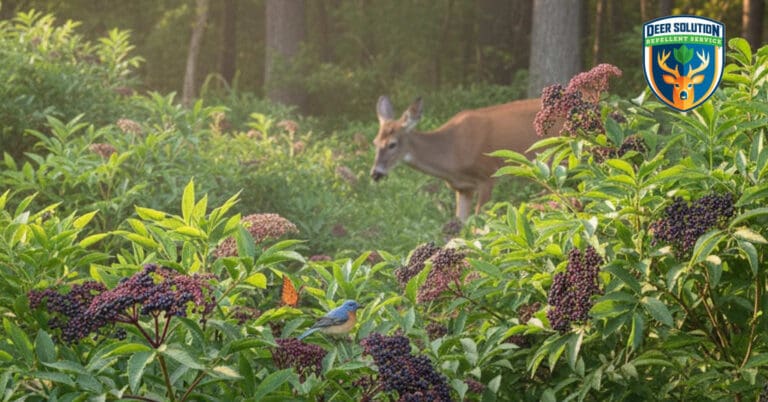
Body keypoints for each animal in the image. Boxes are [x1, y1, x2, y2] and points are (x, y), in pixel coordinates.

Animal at [370, 96, 544, 222]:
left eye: (392, 144)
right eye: (375, 142)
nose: (375, 173)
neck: (452, 154)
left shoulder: (487, 176)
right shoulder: (463, 188)